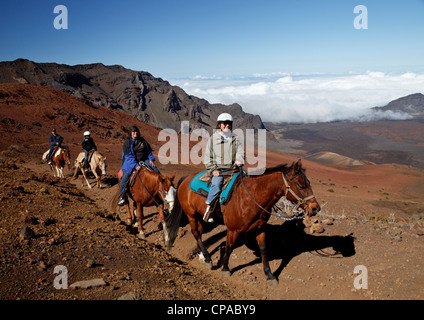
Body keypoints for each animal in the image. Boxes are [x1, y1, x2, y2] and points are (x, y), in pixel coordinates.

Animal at [167, 159, 320, 284]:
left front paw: (269, 275)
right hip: (191, 214)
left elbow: (264, 250)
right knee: (196, 232)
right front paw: (225, 269)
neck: (252, 198)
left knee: (198, 233)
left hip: (201, 216)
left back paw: (201, 254)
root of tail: (186, 179)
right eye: (301, 185)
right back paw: (208, 259)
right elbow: (229, 247)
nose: (315, 208)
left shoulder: (260, 229)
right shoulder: (233, 230)